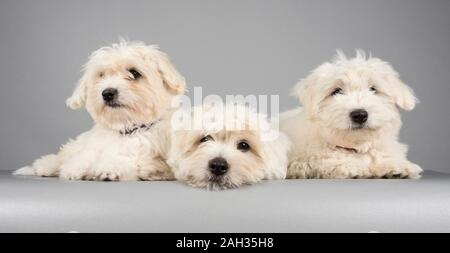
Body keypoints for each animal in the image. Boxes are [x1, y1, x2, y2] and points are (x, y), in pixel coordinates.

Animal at [14, 40, 185, 181]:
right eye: (101, 75)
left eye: (134, 73)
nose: (107, 93)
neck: (125, 129)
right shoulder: (92, 147)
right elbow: (81, 159)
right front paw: (78, 168)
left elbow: (126, 160)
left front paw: (109, 168)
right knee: (65, 153)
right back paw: (46, 165)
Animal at [280, 50, 424, 179]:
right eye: (336, 91)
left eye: (373, 89)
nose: (359, 115)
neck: (356, 146)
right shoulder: (304, 160)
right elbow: (328, 159)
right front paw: (352, 166)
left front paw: (397, 166)